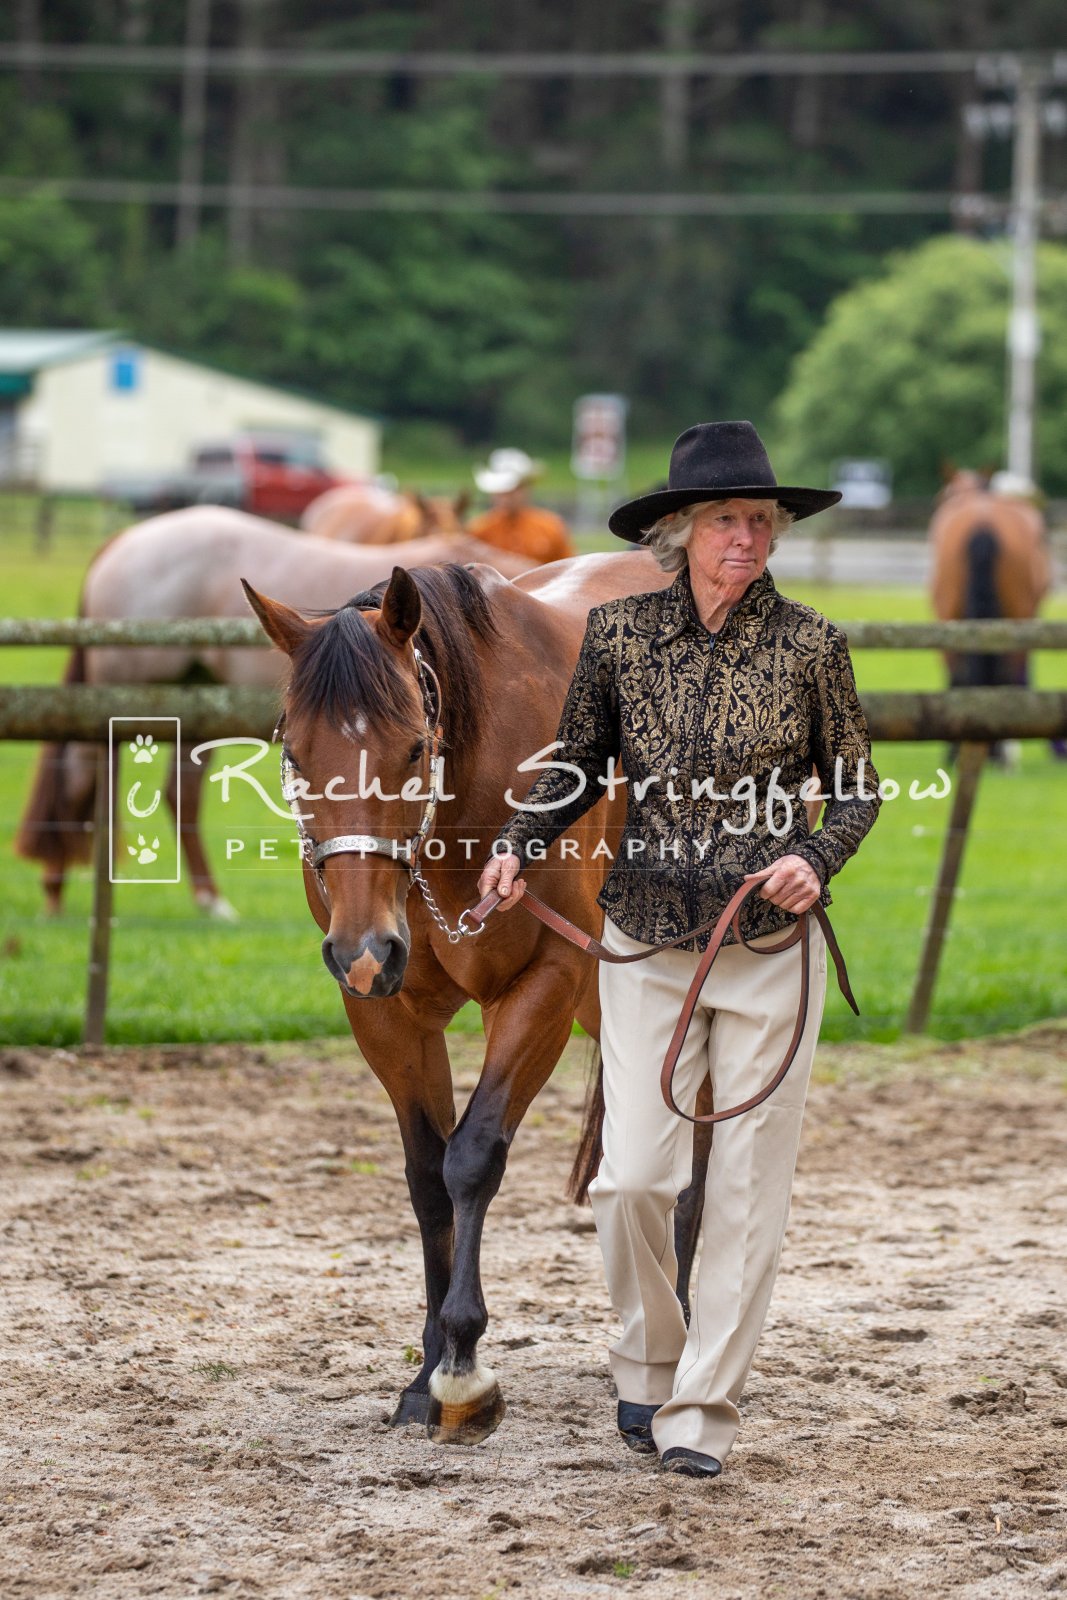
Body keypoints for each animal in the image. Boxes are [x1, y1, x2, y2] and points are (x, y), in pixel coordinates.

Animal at [15, 508, 537, 918]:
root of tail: (122, 542)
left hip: (194, 694)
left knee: (180, 791)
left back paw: (211, 900)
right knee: (80, 774)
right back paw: (55, 892)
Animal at [242, 551, 694, 1444]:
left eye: (415, 747)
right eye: (295, 753)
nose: (361, 948)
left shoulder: (544, 985)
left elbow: (472, 1157)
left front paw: (463, 1368)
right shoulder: (383, 1011)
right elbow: (427, 1176)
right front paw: (424, 1374)